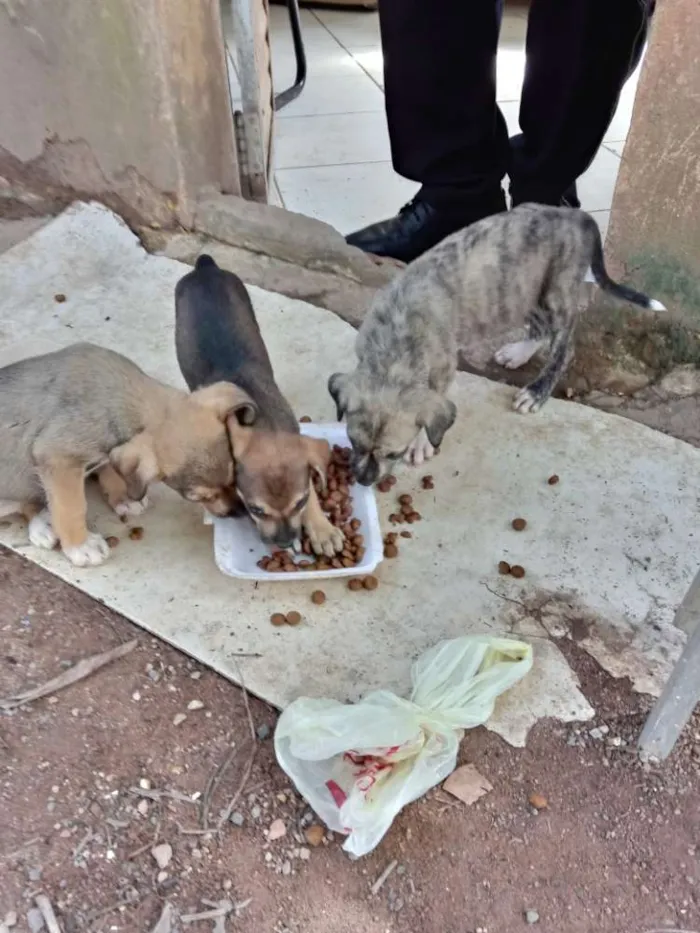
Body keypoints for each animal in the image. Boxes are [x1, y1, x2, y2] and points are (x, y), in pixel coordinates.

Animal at [0, 338, 258, 564]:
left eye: (233, 477)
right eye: (198, 497)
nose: (240, 512)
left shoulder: (111, 451)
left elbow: (113, 470)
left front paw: (123, 496)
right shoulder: (59, 457)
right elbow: (71, 507)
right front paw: (80, 546)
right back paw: (42, 525)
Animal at [176, 255, 344, 552]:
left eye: (300, 503)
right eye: (256, 510)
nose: (285, 543)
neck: (265, 422)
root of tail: (205, 268)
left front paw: (321, 528)